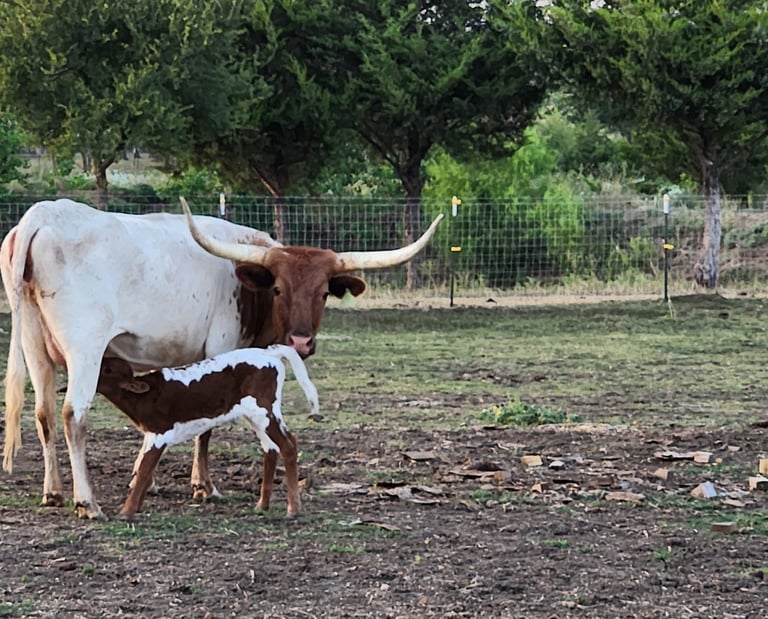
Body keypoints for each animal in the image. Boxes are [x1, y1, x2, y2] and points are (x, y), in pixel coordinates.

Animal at [96, 345, 318, 520]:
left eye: (107, 369)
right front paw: (136, 507)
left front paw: (126, 512)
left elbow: (143, 469)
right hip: (255, 416)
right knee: (270, 448)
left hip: (264, 410)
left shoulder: (160, 433)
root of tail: (268, 352)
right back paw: (262, 505)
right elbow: (147, 467)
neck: (144, 397)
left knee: (288, 445)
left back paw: (293, 509)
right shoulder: (152, 435)